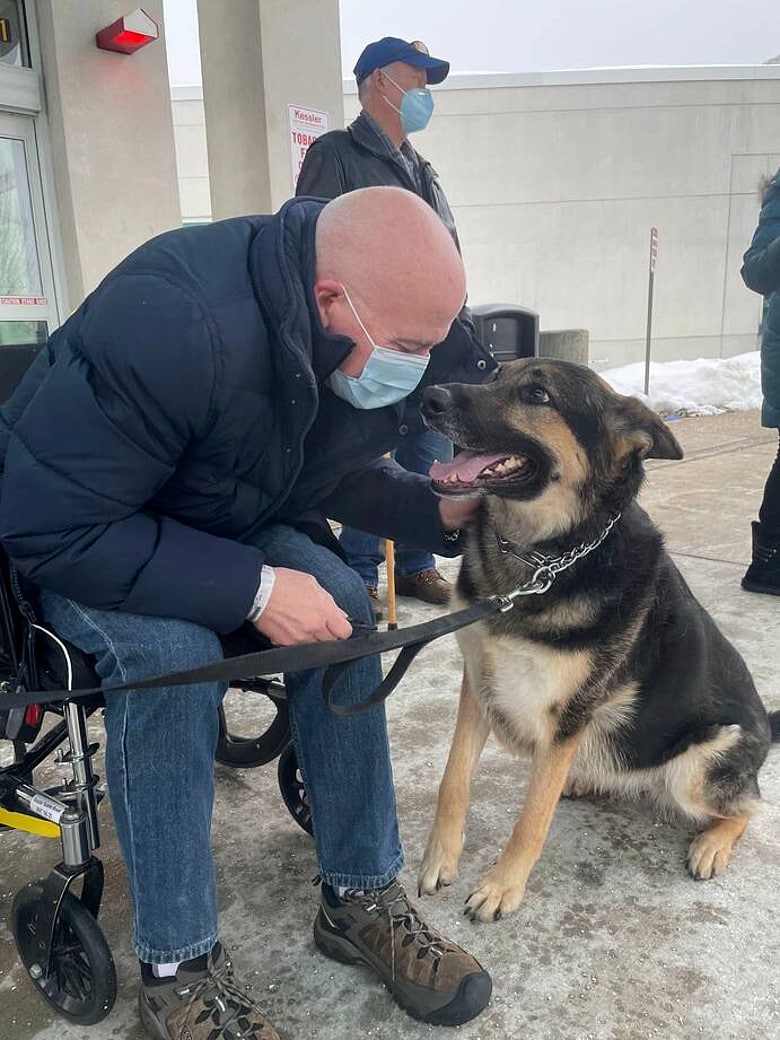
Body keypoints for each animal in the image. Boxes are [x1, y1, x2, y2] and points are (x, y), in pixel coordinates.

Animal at [422, 361, 780, 923]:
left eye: (537, 394)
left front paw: (502, 886)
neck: (542, 559)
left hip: (699, 766)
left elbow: (532, 816)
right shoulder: (478, 685)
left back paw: (712, 844)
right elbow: (453, 780)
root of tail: (766, 725)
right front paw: (440, 858)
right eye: (495, 373)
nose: (428, 399)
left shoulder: (568, 715)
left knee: (752, 805)